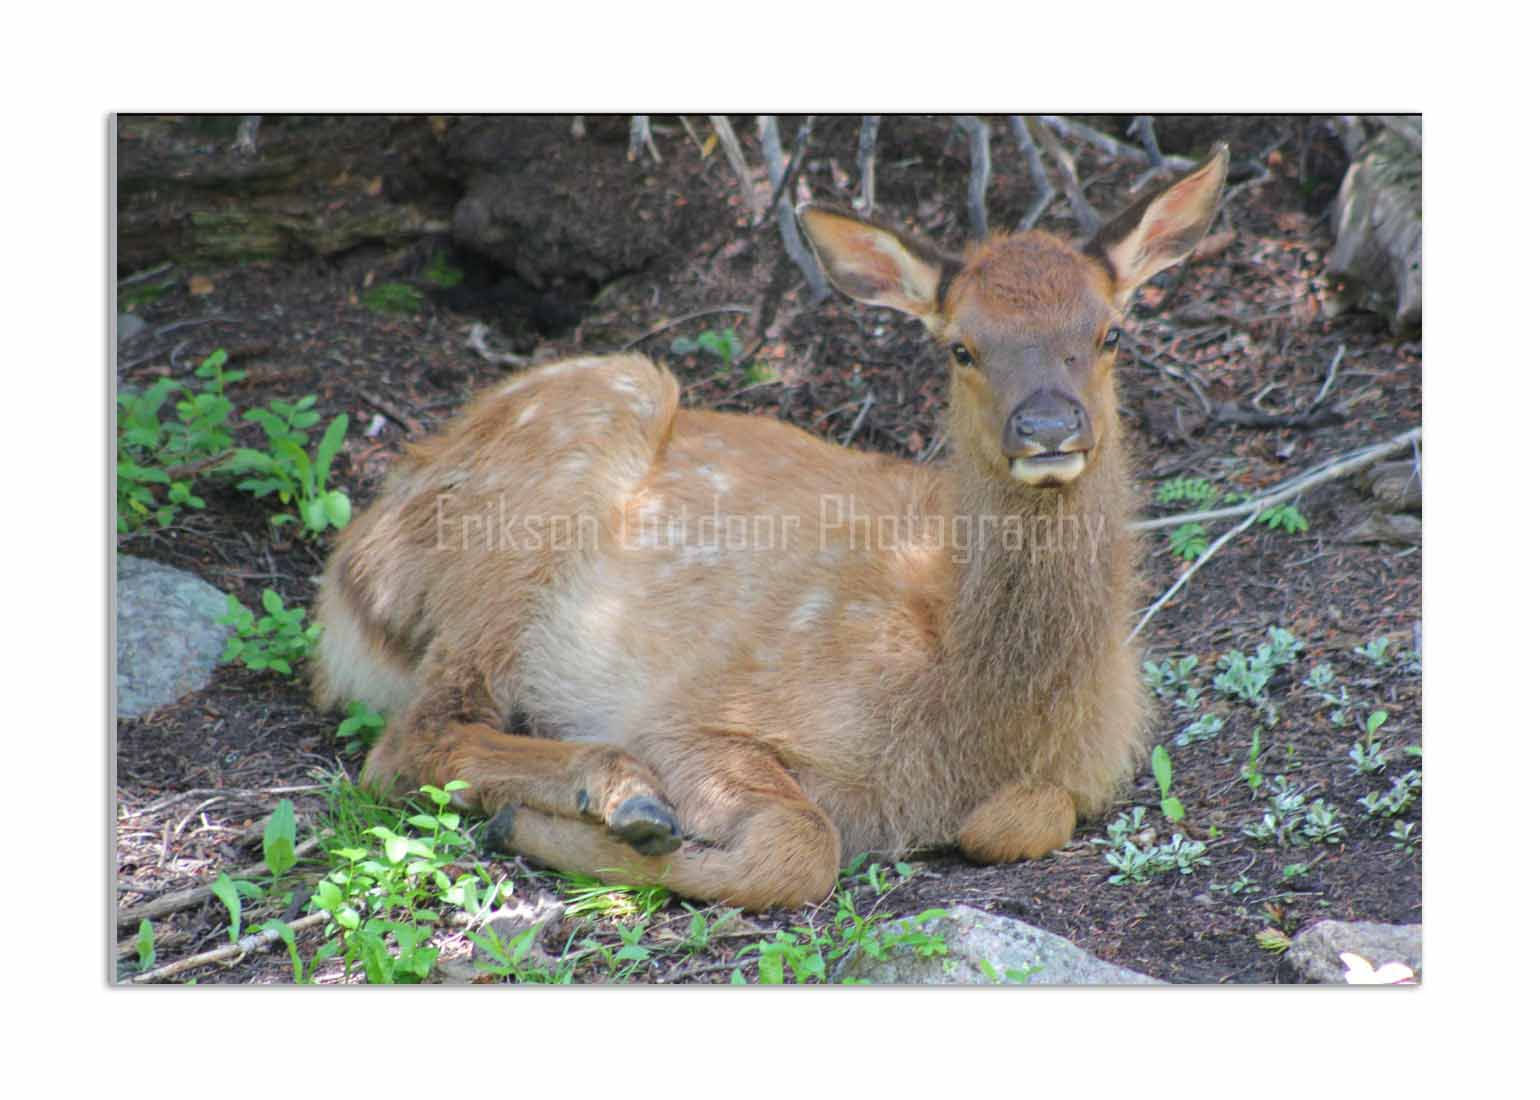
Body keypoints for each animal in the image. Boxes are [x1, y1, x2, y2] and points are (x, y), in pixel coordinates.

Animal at [312, 146, 1230, 911]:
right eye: (962, 347)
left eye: (1110, 333)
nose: (1046, 427)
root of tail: (349, 574)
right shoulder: (698, 711)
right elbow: (802, 845)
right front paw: (555, 831)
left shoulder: (1095, 767)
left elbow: (1021, 820)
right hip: (547, 488)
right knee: (408, 740)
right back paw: (621, 794)